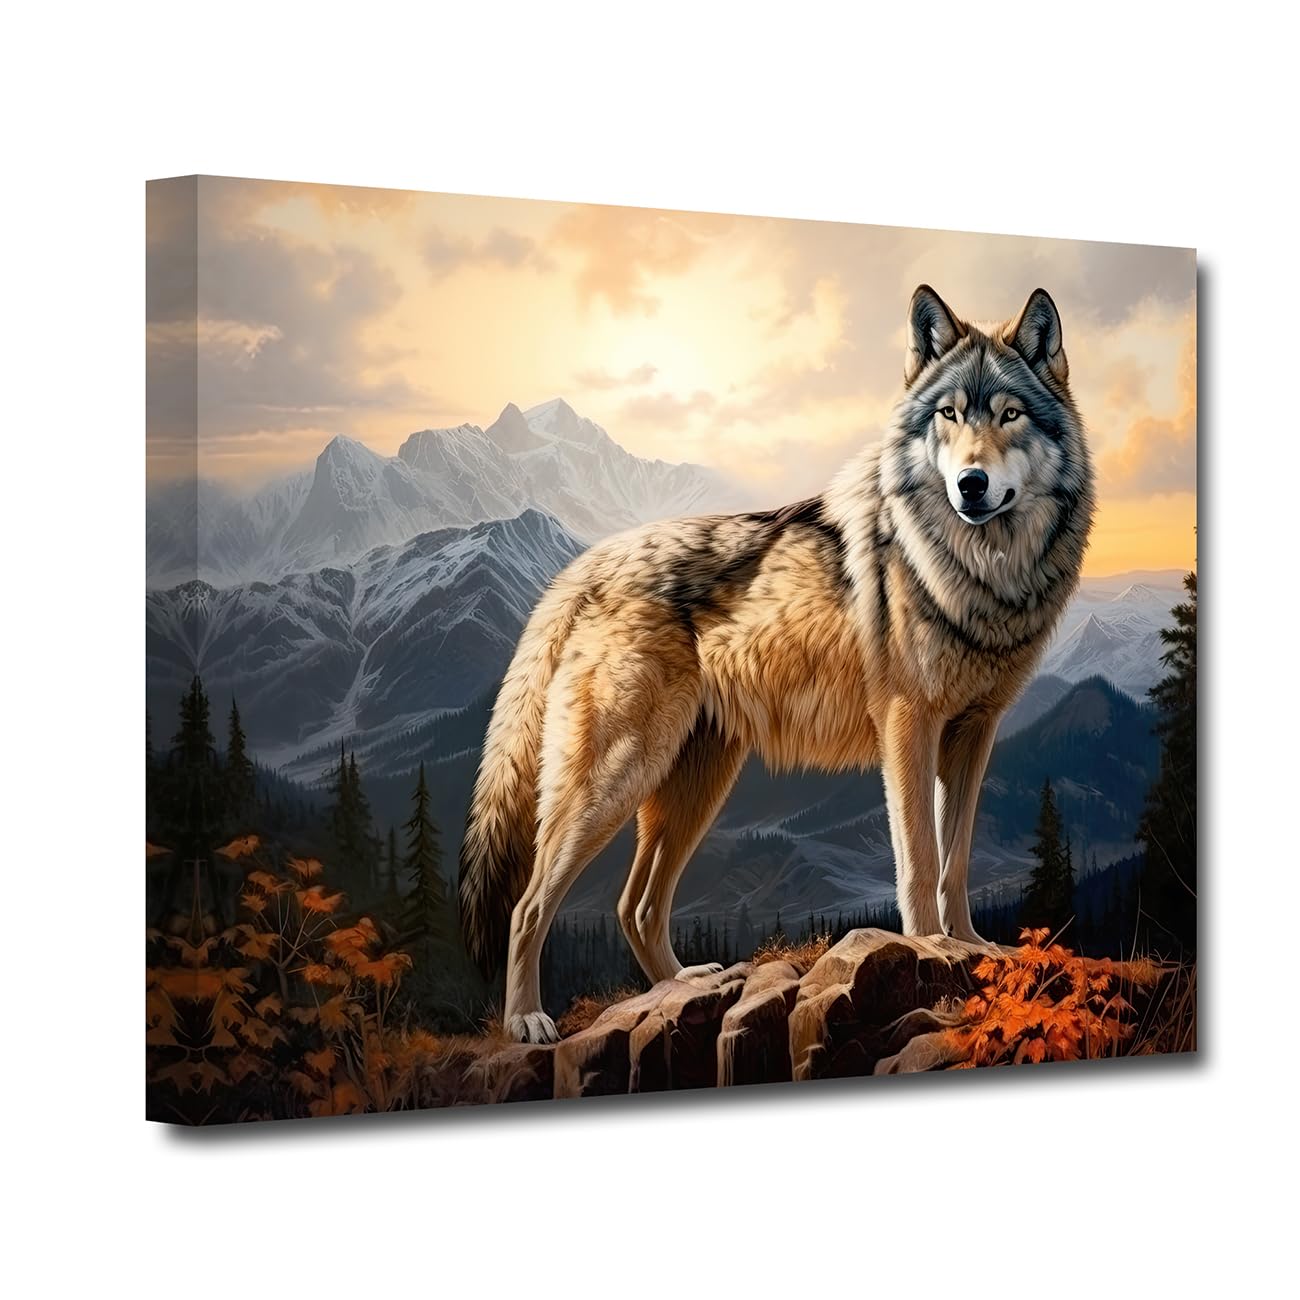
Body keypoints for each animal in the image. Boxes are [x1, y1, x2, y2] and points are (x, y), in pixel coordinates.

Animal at [459, 286, 1096, 1043]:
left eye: (1008, 414)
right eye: (948, 415)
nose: (971, 484)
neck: (980, 571)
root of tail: (581, 567)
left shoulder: (974, 733)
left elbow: (956, 860)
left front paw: (969, 945)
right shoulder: (908, 726)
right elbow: (918, 862)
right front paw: (929, 947)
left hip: (694, 784)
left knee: (634, 905)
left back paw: (684, 986)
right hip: (616, 780)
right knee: (529, 906)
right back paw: (526, 1019)